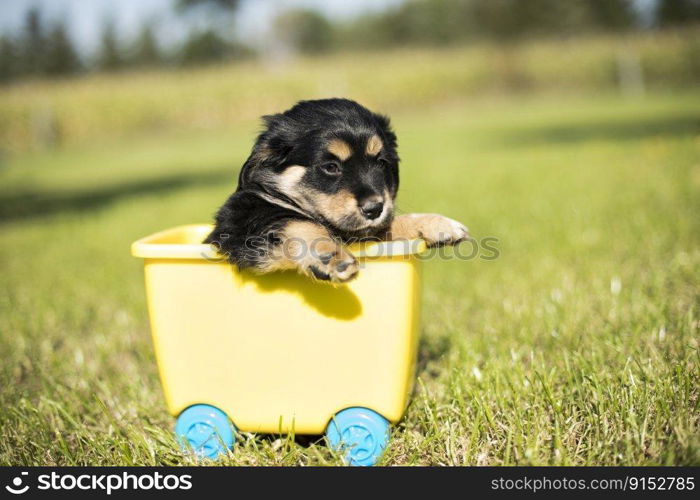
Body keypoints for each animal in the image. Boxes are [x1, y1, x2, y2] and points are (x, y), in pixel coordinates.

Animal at [205, 98, 468, 282]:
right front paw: (331, 256)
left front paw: (437, 224)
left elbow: (387, 225)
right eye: (331, 167)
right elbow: (297, 222)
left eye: (381, 162)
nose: (374, 208)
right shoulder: (239, 222)